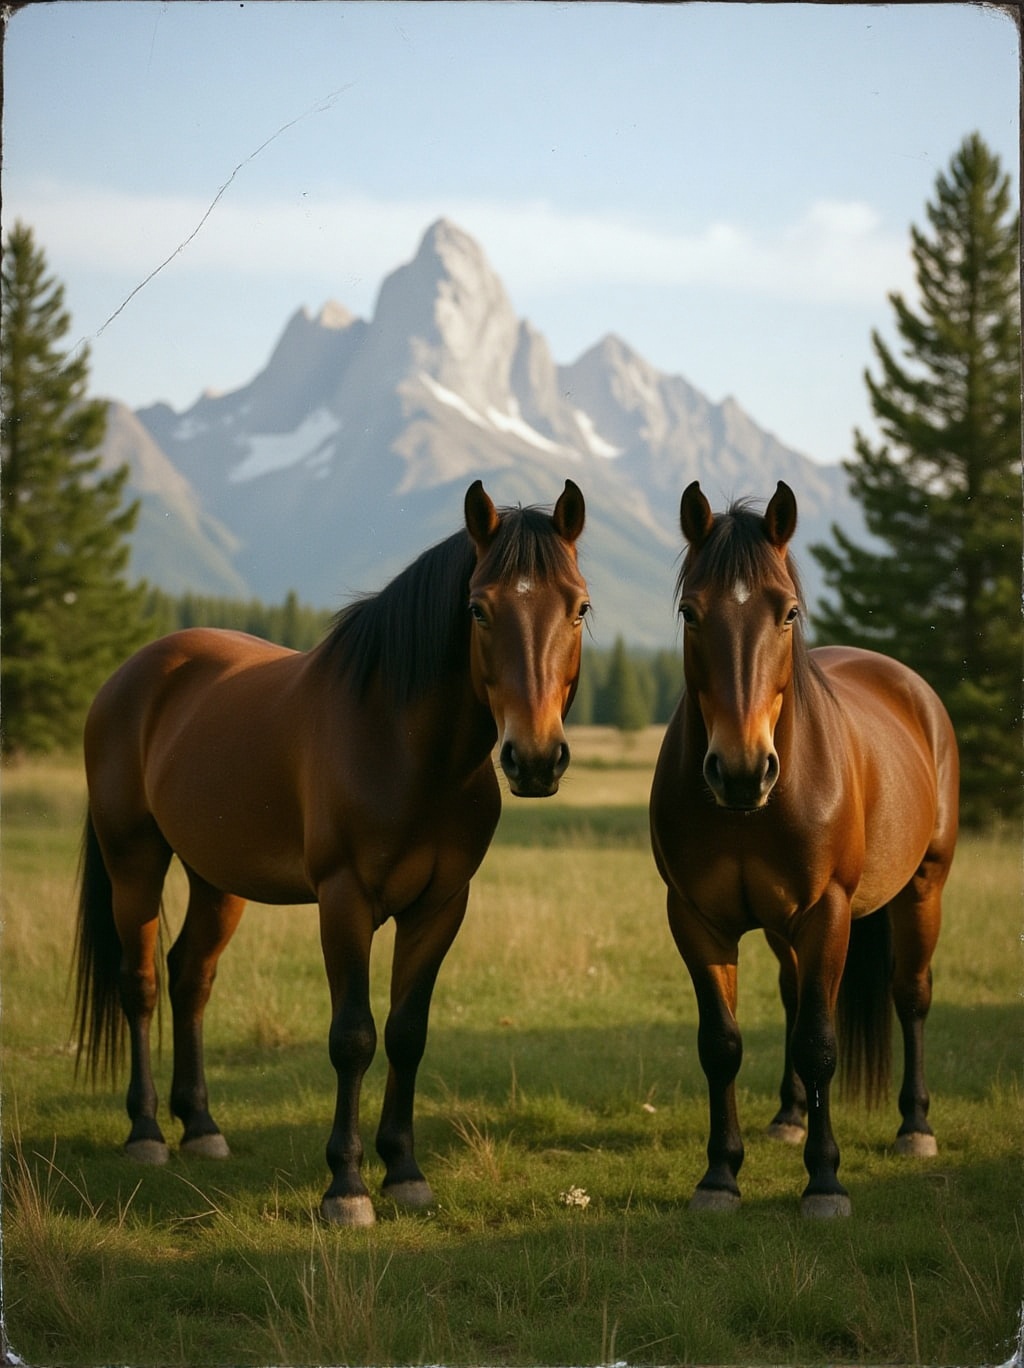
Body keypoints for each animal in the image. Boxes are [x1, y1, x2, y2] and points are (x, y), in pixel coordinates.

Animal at [74, 478, 589, 1226]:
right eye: (479, 608)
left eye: (579, 606)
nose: (537, 758)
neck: (405, 746)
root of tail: (131, 675)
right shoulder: (344, 902)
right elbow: (353, 1037)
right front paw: (346, 1187)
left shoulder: (441, 906)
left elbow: (406, 1033)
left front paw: (404, 1172)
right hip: (133, 861)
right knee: (138, 984)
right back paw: (145, 1133)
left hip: (215, 878)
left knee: (190, 976)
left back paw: (200, 1127)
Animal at [649, 481, 958, 1218]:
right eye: (690, 611)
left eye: (787, 611)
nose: (740, 770)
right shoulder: (696, 919)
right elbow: (722, 1043)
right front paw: (720, 1175)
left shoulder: (828, 913)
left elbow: (820, 1042)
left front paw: (824, 1181)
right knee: (794, 998)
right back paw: (789, 1117)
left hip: (923, 889)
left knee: (912, 995)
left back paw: (915, 1126)